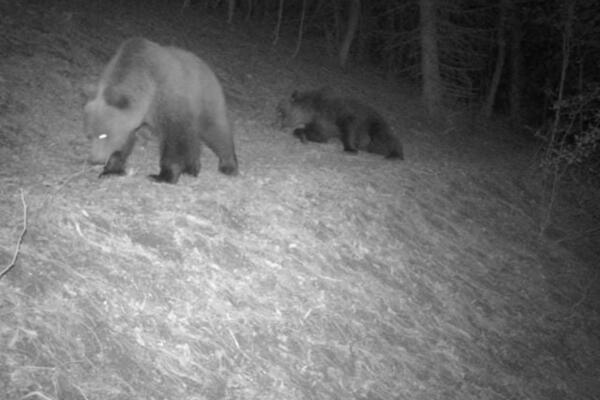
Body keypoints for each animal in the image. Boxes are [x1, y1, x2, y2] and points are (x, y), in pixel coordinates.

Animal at [83, 36, 238, 184]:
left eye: (104, 135)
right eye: (90, 135)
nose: (94, 160)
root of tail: (206, 66)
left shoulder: (167, 101)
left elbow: (174, 139)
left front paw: (164, 175)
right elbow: (125, 139)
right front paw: (110, 170)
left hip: (205, 98)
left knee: (215, 130)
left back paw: (228, 165)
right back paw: (192, 168)